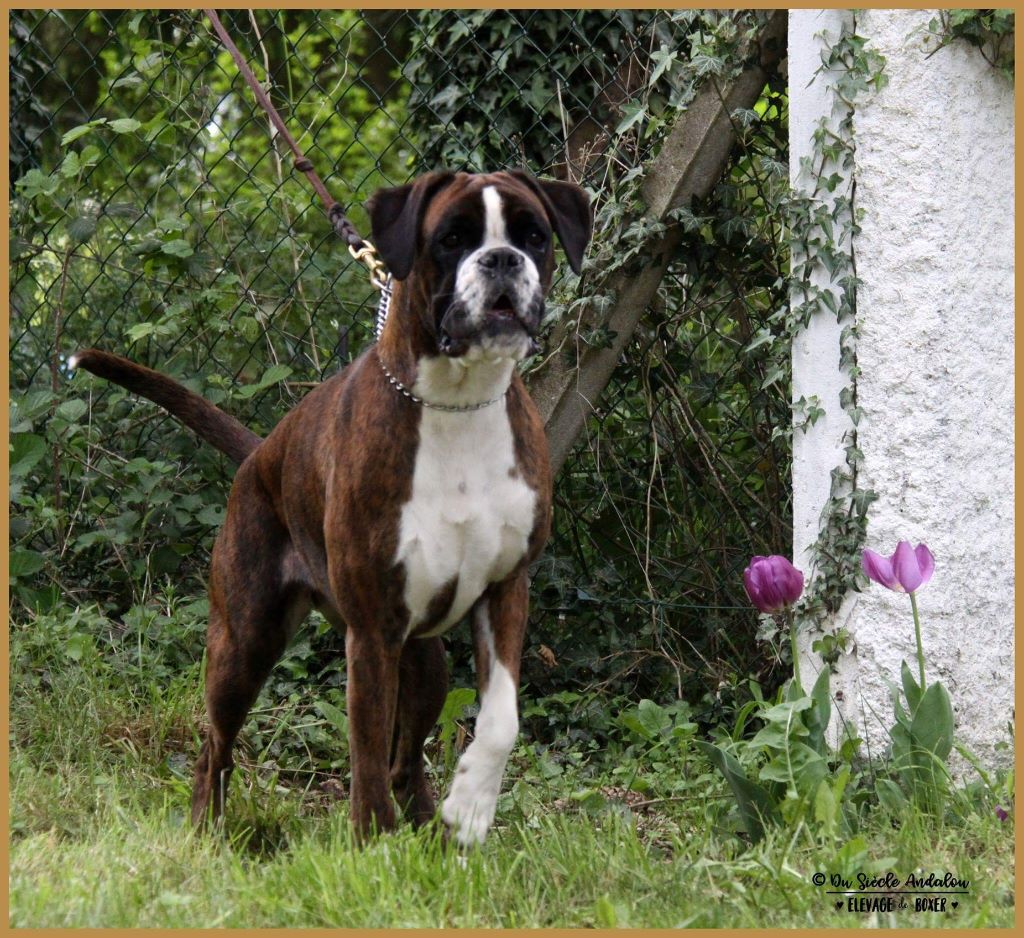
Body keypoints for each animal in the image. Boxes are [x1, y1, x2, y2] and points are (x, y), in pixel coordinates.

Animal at [72, 166, 593, 843]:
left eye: (534, 236)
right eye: (452, 239)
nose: (502, 259)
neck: (458, 402)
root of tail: (261, 453)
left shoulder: (505, 590)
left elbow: (500, 720)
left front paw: (473, 805)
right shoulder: (369, 635)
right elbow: (364, 755)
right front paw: (370, 845)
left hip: (423, 664)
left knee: (407, 757)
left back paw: (427, 828)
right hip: (244, 643)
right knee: (217, 745)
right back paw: (207, 831)